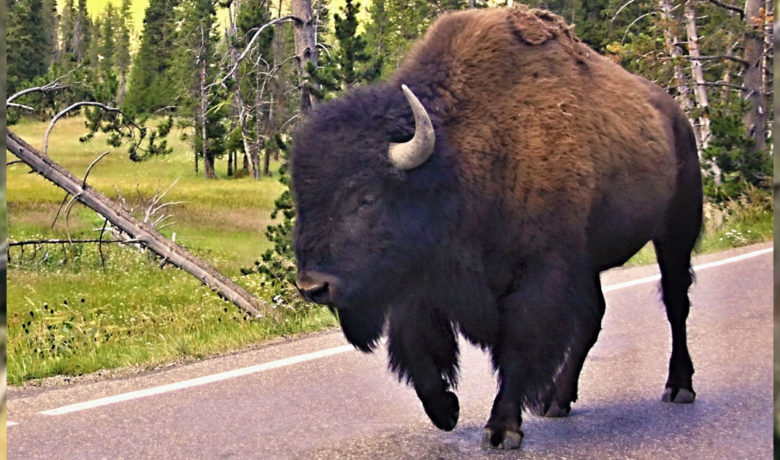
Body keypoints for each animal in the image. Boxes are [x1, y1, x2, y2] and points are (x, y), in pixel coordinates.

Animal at [291, 5, 701, 449]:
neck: (462, 159)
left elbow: (518, 346)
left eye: (366, 197)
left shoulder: (537, 274)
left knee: (675, 302)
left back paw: (679, 387)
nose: (313, 286)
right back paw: (556, 401)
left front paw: (502, 429)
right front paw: (447, 411)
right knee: (593, 318)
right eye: (301, 197)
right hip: (588, 262)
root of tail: (677, 117)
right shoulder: (420, 283)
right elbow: (417, 349)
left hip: (675, 233)